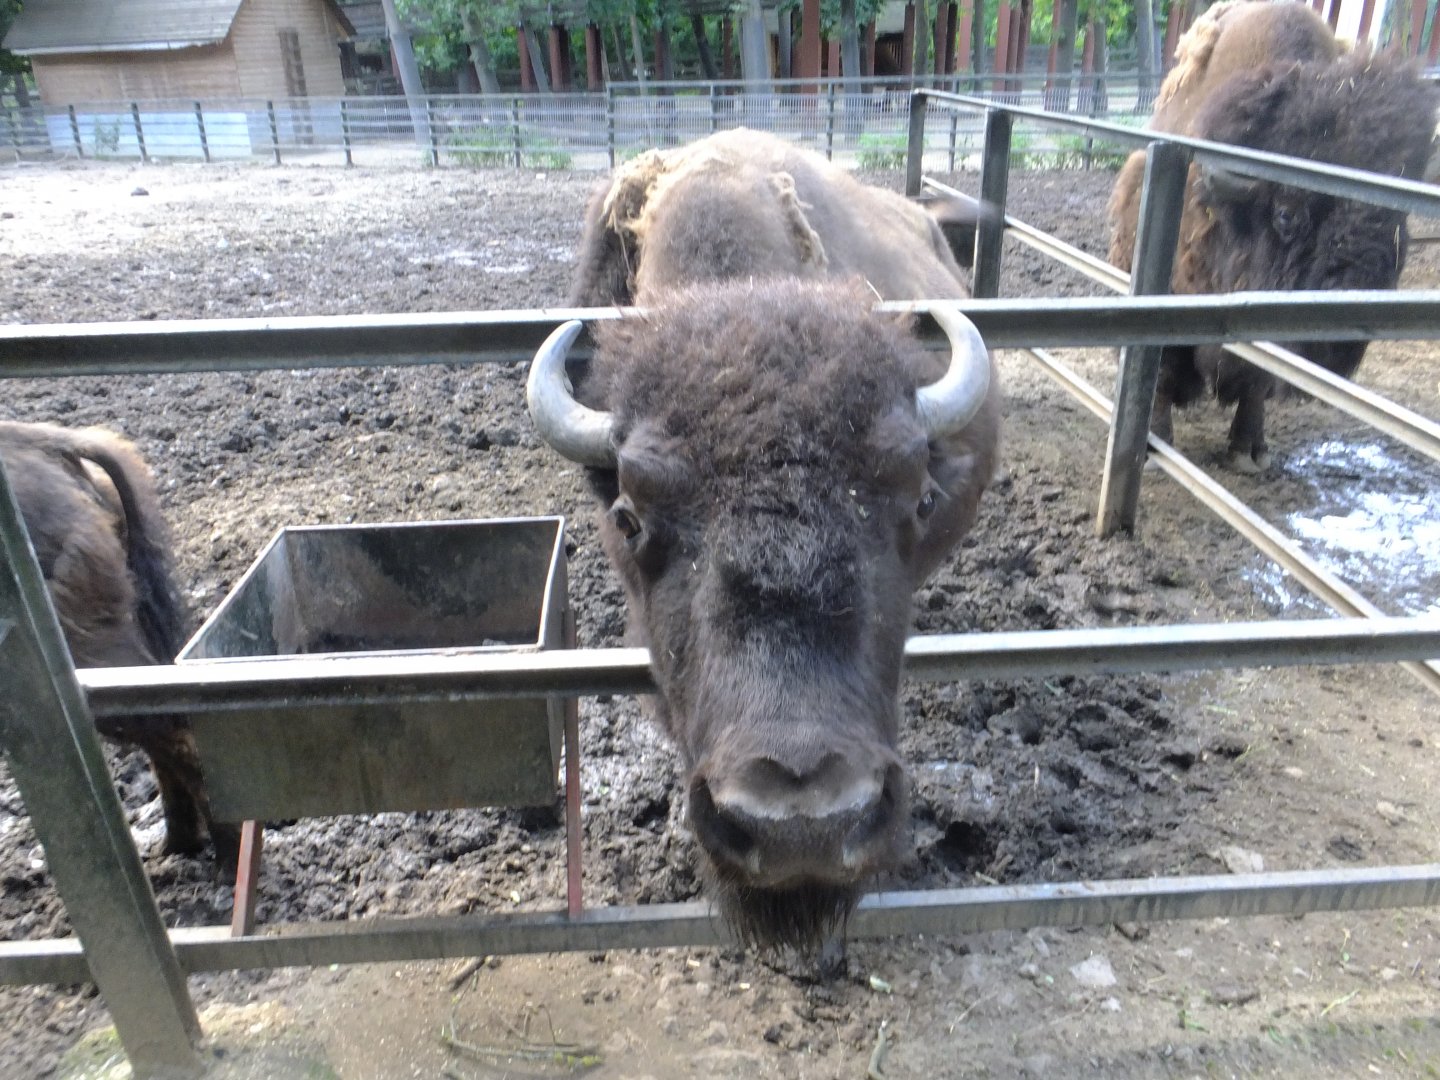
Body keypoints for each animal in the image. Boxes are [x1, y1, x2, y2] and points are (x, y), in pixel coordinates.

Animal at [1108, 0, 1439, 471]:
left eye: (1396, 222)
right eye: (1286, 213)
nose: (1339, 341)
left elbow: (1256, 381)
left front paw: (1248, 451)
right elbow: (1158, 371)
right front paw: (1154, 447)